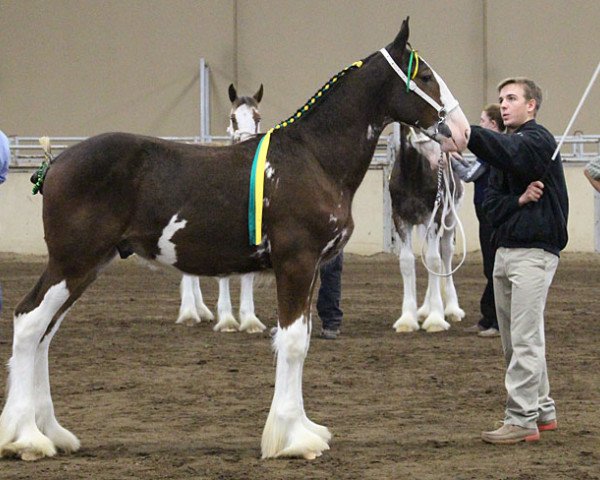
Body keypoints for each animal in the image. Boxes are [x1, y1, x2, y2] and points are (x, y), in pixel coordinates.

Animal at [0, 18, 468, 462]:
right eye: (426, 76)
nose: (462, 131)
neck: (313, 158)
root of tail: (56, 162)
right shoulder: (296, 263)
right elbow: (292, 343)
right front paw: (293, 440)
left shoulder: (311, 269)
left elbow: (300, 340)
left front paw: (304, 429)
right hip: (71, 264)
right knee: (29, 323)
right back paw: (27, 438)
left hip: (85, 269)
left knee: (45, 333)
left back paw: (52, 433)